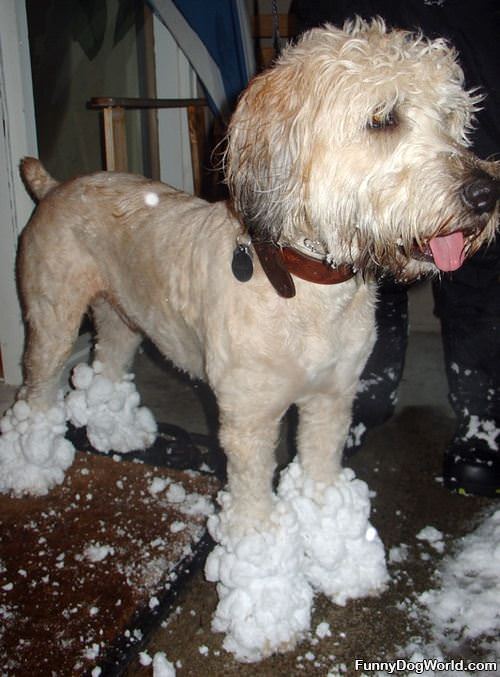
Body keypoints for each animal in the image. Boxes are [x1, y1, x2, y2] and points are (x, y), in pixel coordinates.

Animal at [1, 17, 498, 660]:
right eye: (384, 118)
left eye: (453, 117)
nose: (487, 195)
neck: (306, 286)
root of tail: (57, 186)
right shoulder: (249, 424)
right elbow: (257, 519)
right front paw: (268, 611)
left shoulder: (331, 403)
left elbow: (320, 488)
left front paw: (342, 566)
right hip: (53, 323)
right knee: (36, 398)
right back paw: (31, 472)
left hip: (123, 321)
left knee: (106, 372)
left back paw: (119, 433)